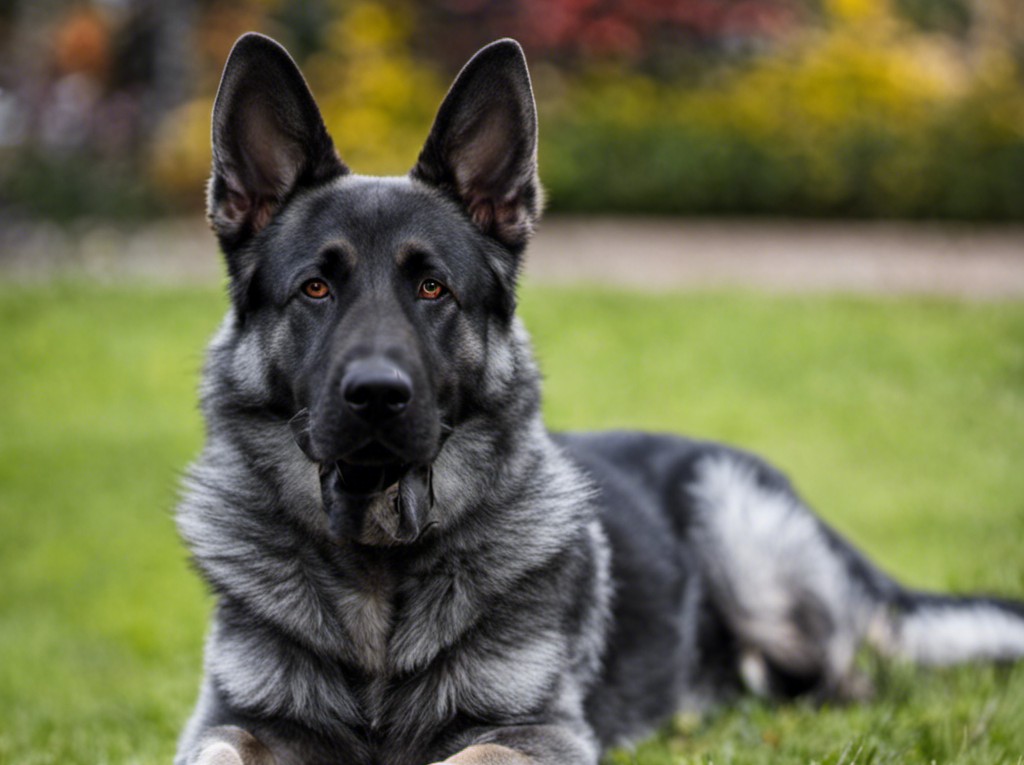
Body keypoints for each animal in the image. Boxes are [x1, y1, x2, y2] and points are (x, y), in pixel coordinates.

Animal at [176, 34, 1024, 765]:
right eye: (315, 288)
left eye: (433, 288)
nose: (378, 396)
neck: (378, 573)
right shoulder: (228, 721)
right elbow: (219, 747)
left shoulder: (538, 730)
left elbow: (467, 752)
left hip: (751, 554)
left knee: (847, 680)